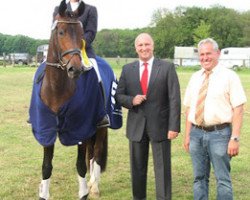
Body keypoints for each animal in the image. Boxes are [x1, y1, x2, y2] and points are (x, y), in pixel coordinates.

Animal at [28, 0, 121, 199]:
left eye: (81, 34)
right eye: (60, 32)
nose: (75, 69)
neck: (58, 88)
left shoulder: (80, 129)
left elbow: (80, 165)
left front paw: (84, 192)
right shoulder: (46, 128)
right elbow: (46, 166)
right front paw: (43, 193)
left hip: (100, 125)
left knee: (96, 152)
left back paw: (94, 186)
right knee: (91, 154)